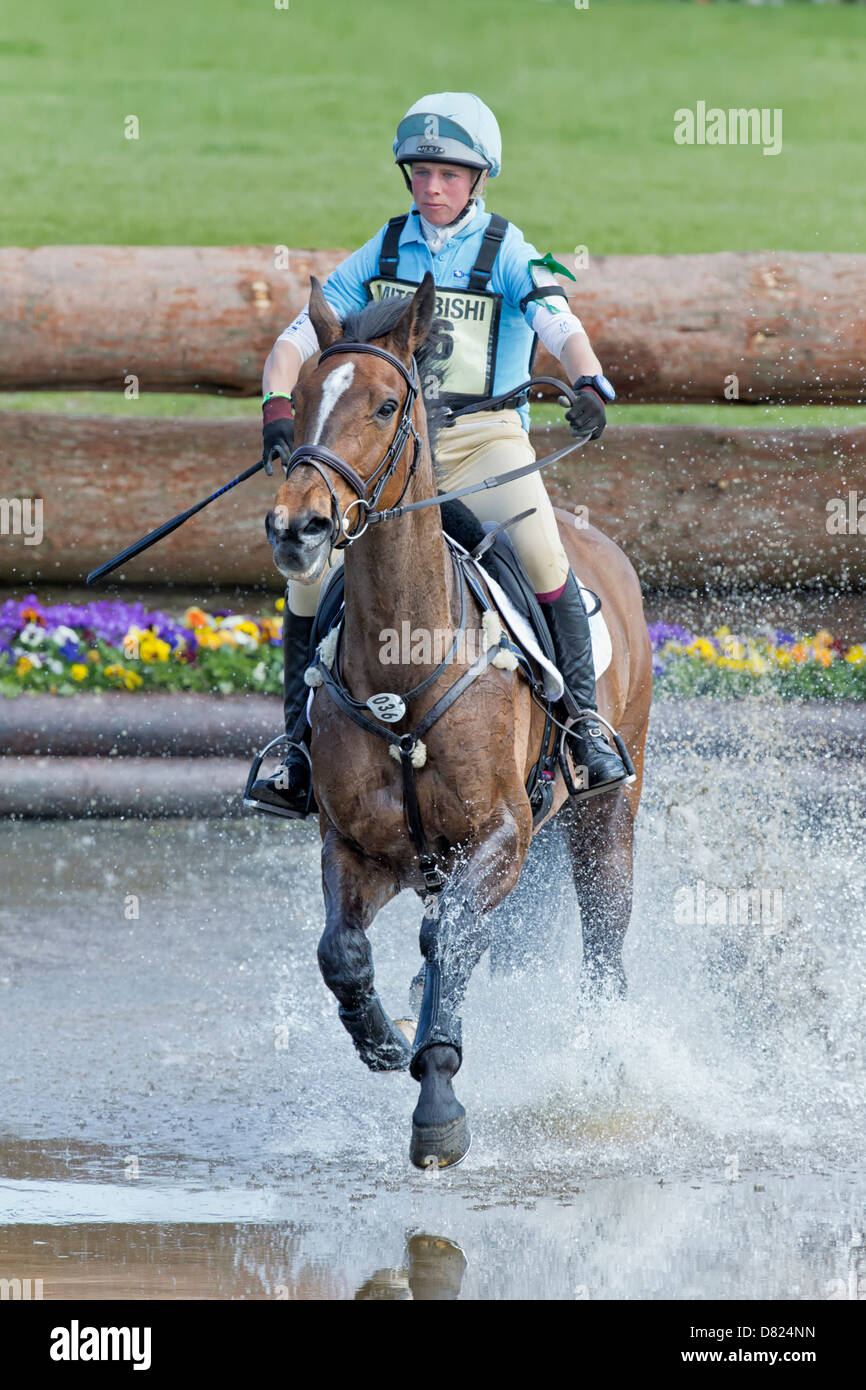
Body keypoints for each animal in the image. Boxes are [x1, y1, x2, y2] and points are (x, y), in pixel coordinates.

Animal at [265, 272, 652, 1168]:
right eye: (302, 400)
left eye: (384, 405)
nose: (297, 527)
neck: (402, 667)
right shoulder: (358, 845)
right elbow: (343, 953)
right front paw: (382, 1037)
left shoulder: (501, 835)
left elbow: (450, 948)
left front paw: (437, 1102)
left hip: (605, 815)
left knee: (602, 943)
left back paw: (605, 1069)